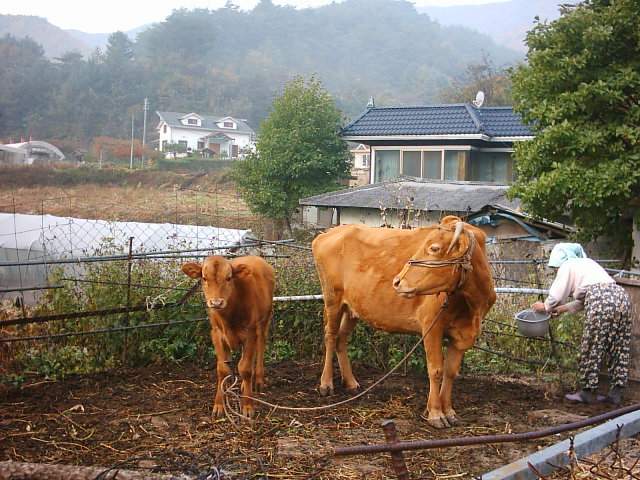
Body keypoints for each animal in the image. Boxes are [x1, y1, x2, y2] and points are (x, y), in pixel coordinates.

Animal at [180, 255, 276, 416]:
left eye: (229, 278)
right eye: (204, 278)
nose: (216, 302)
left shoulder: (250, 333)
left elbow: (245, 369)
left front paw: (247, 405)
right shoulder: (216, 333)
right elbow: (222, 369)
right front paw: (219, 405)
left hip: (265, 321)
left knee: (260, 347)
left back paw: (258, 380)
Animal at [314, 216, 496, 426]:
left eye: (434, 248)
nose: (397, 281)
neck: (471, 306)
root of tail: (328, 233)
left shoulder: (463, 335)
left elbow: (450, 372)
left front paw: (449, 411)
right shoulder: (431, 325)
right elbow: (435, 369)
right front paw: (435, 413)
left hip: (352, 307)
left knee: (341, 339)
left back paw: (351, 382)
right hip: (332, 299)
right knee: (330, 337)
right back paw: (326, 384)